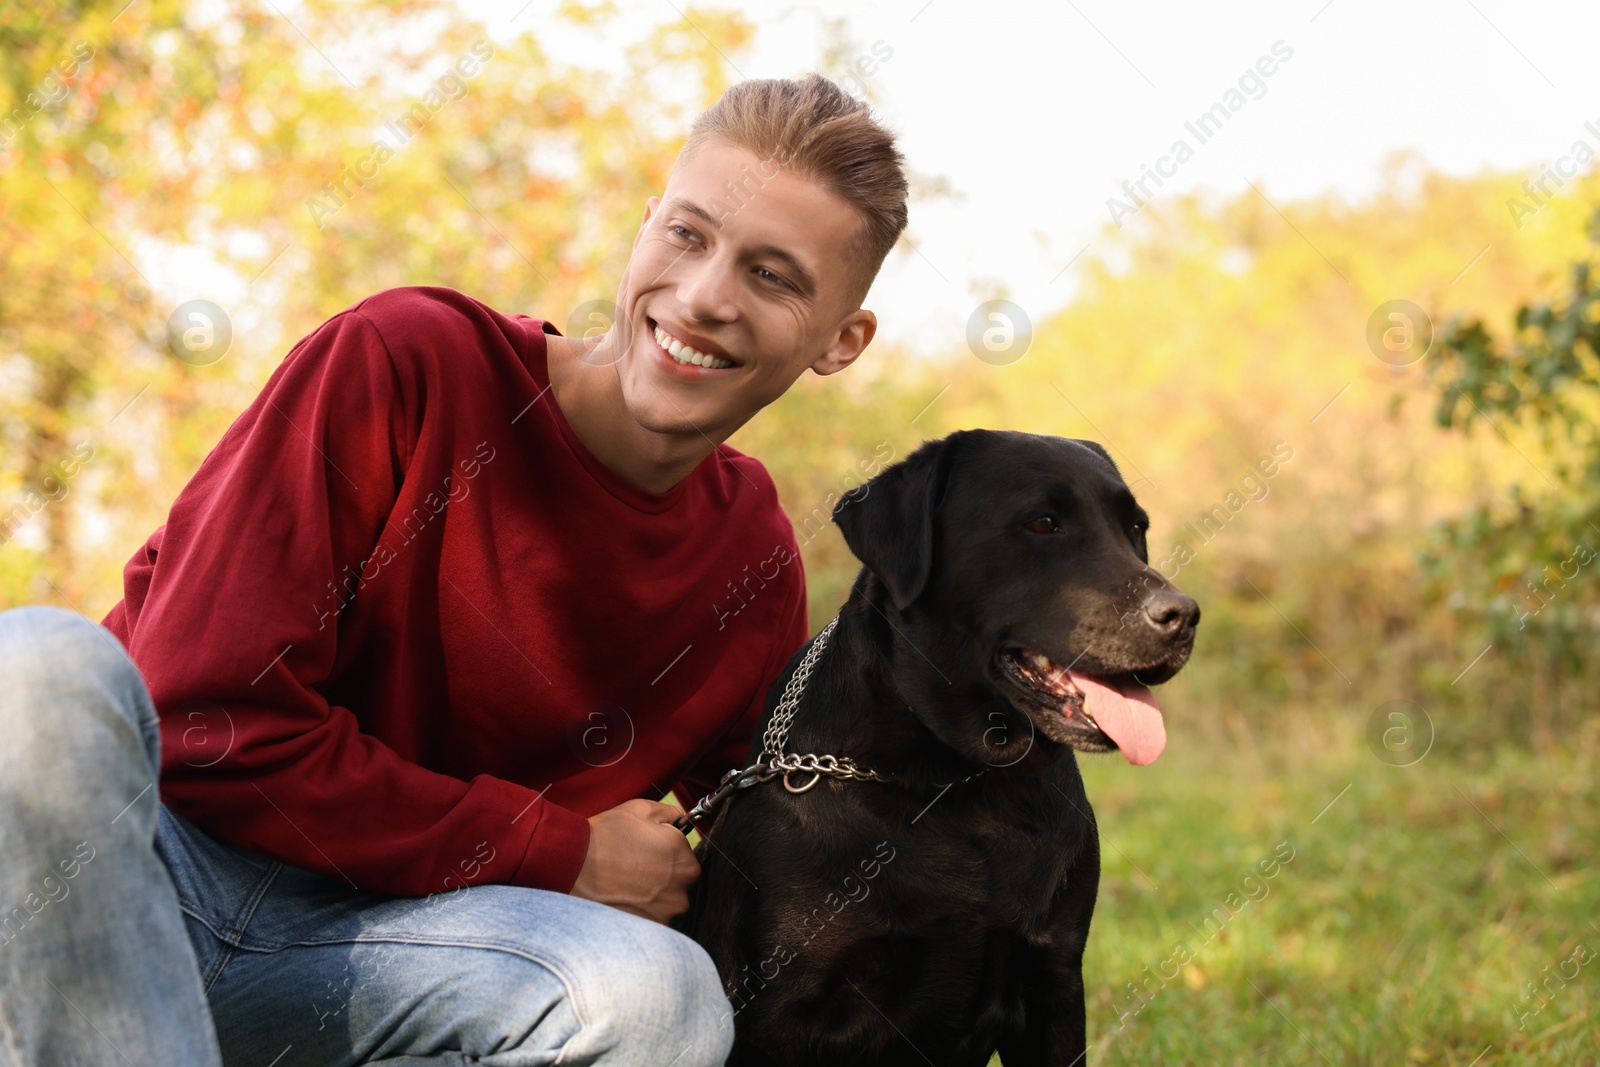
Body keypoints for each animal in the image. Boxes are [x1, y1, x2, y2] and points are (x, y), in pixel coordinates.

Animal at [678, 431, 1203, 1067]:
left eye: (1136, 529)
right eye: (1044, 522)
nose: (1182, 616)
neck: (959, 784)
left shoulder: (1052, 979)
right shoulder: (775, 1012)